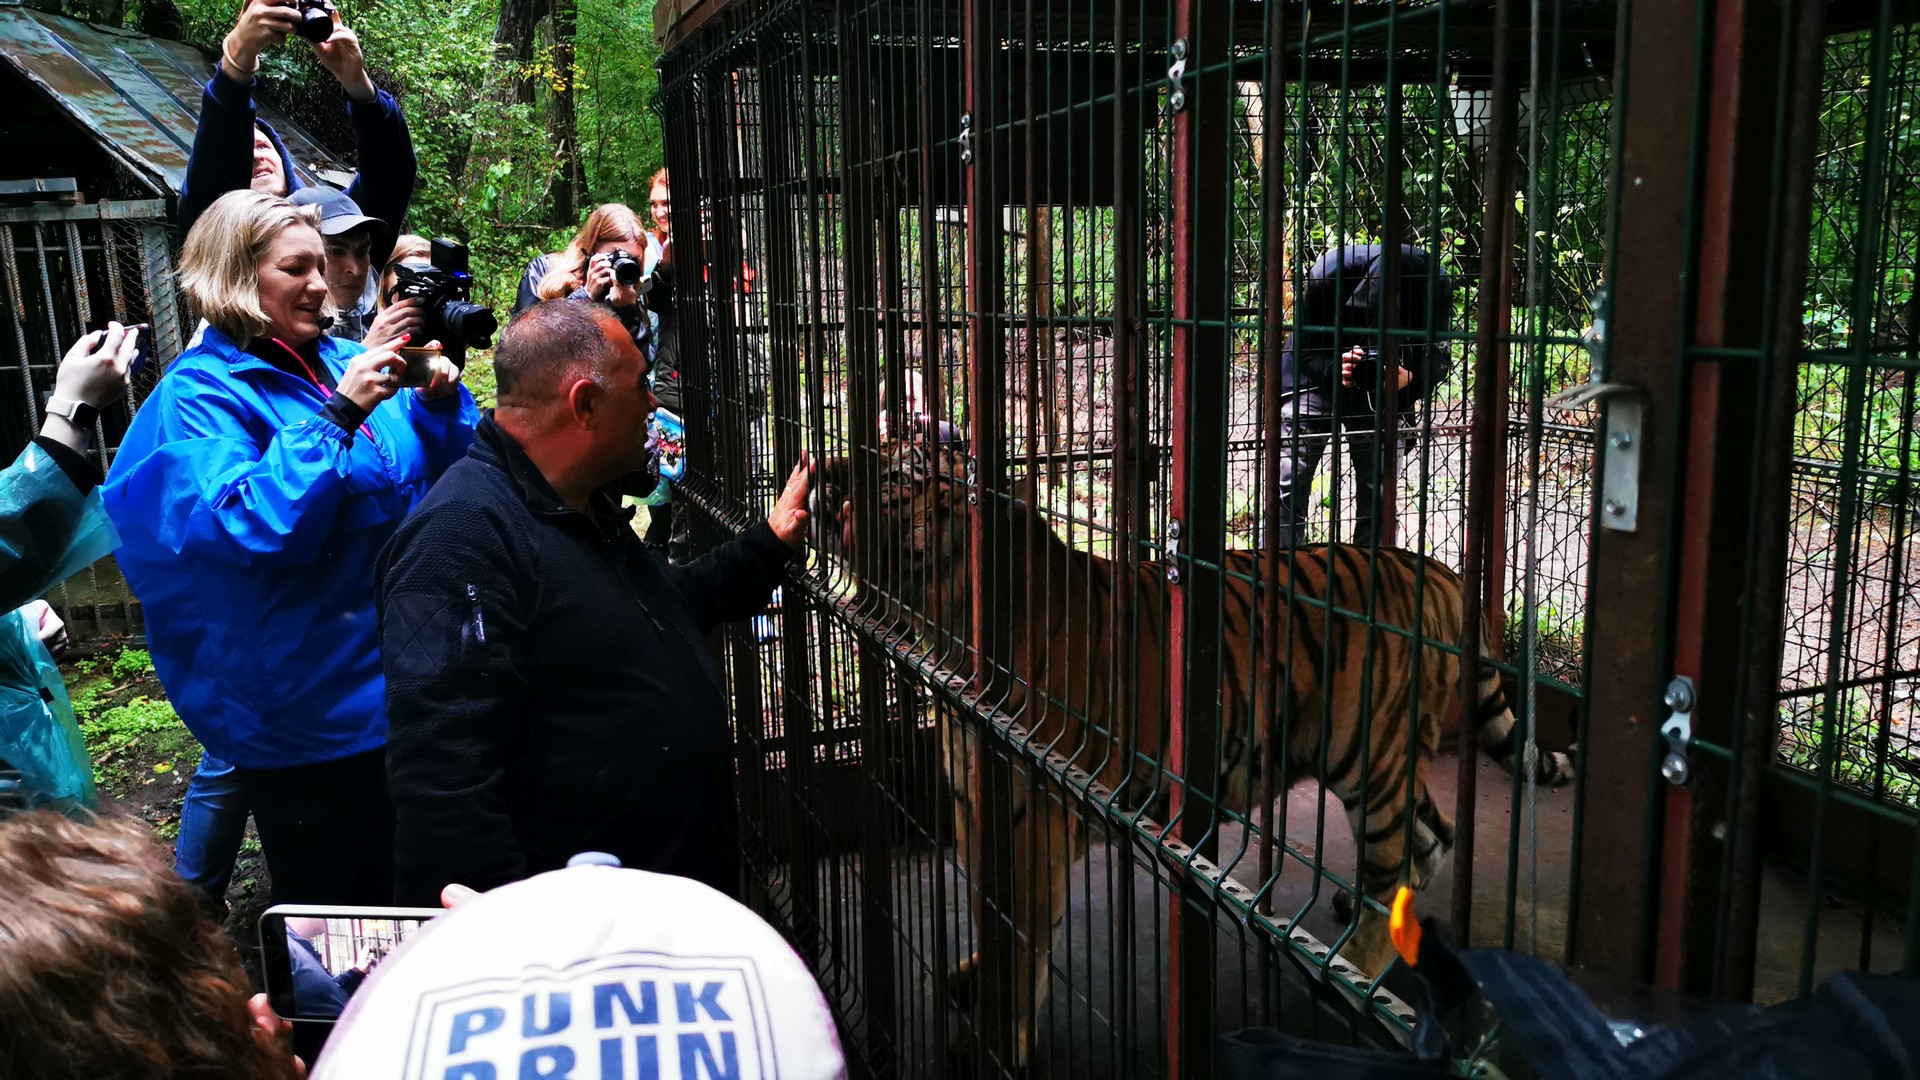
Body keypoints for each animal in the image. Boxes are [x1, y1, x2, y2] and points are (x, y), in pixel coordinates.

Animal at [810, 438, 1574, 1060]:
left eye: (898, 471)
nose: (821, 472)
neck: (943, 618)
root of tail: (1439, 570)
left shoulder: (1033, 817)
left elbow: (1021, 933)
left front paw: (998, 1039)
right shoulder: (975, 808)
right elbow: (985, 911)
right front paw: (976, 980)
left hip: (1370, 759)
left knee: (1396, 864)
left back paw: (1353, 968)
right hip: (1387, 762)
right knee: (1433, 836)